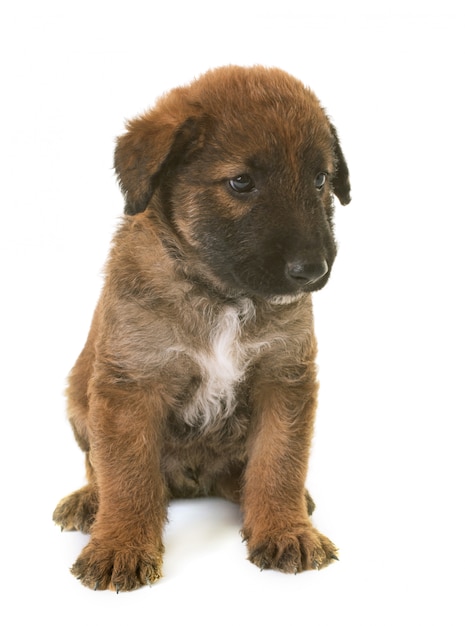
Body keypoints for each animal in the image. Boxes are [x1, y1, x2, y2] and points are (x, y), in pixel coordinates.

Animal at [52, 64, 350, 588]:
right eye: (241, 183)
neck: (220, 295)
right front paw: (121, 544)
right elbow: (126, 475)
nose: (312, 270)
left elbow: (279, 461)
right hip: (77, 397)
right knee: (96, 466)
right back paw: (90, 501)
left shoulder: (283, 377)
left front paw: (285, 529)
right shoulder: (130, 385)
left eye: (320, 179)